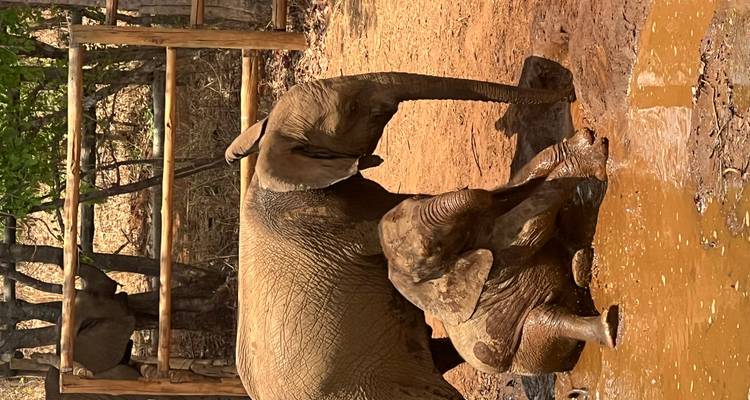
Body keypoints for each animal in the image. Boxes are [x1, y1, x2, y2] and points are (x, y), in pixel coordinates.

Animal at [378, 128, 619, 376]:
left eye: (417, 198)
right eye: (433, 249)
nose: (468, 187)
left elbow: (521, 183)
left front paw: (579, 145)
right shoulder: (494, 272)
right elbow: (530, 225)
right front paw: (587, 156)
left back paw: (581, 263)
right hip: (529, 351)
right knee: (545, 319)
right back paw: (606, 327)